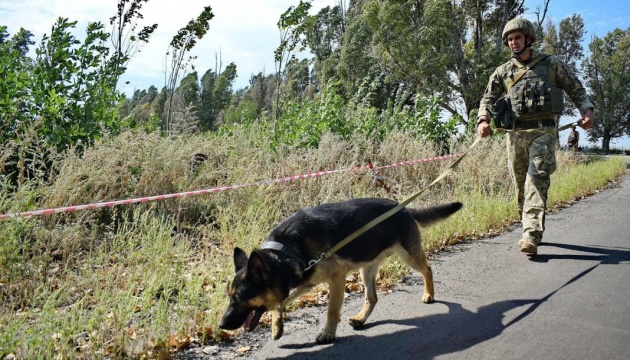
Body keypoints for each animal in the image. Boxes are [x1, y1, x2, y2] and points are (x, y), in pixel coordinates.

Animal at [220, 200, 462, 344]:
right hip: (366, 269)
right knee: (372, 298)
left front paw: (328, 333)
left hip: (409, 256)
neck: (285, 252)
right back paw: (361, 319)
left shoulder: (337, 278)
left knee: (428, 269)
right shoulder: (304, 282)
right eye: (229, 297)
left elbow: (331, 310)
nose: (221, 325)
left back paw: (429, 294)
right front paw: (276, 326)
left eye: (239, 298)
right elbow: (280, 302)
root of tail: (403, 207)